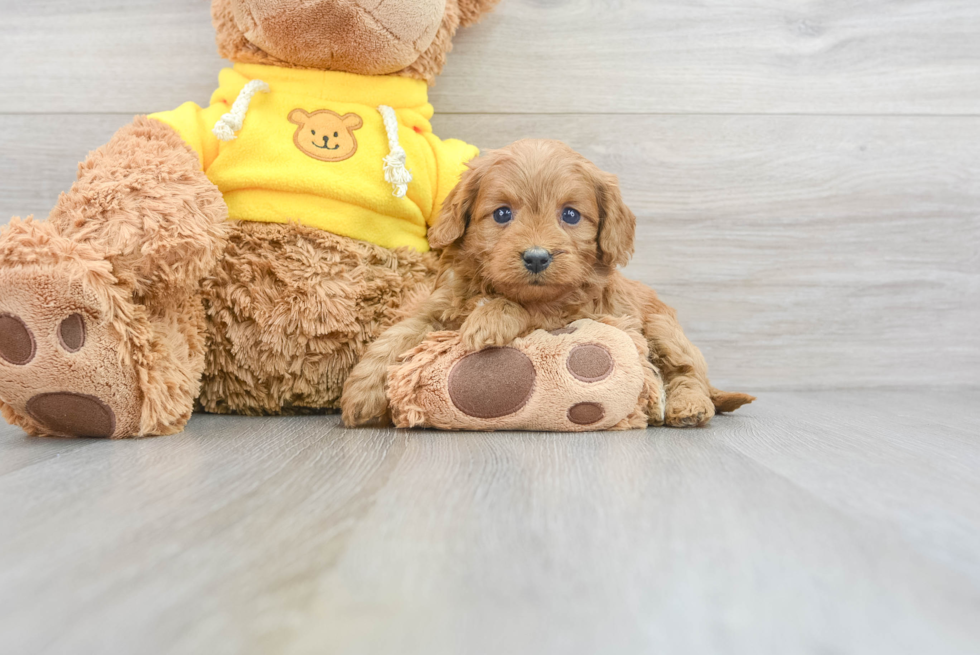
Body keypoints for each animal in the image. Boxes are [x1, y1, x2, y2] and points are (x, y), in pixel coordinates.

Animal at [340, 139, 756, 428]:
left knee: (687, 371)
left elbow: (525, 308)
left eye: (570, 215)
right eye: (502, 214)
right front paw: (361, 391)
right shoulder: (438, 307)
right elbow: (397, 335)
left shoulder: (569, 313)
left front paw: (489, 320)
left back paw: (690, 406)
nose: (537, 257)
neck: (494, 287)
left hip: (662, 326)